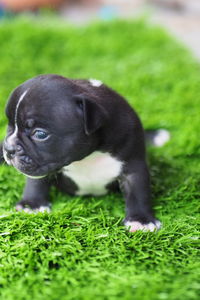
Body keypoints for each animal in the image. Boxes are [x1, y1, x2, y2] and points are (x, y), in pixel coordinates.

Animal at [1, 74, 169, 232]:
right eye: (10, 126)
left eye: (40, 134)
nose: (9, 148)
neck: (87, 157)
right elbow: (35, 182)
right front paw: (31, 205)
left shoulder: (134, 165)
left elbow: (138, 192)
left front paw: (141, 220)